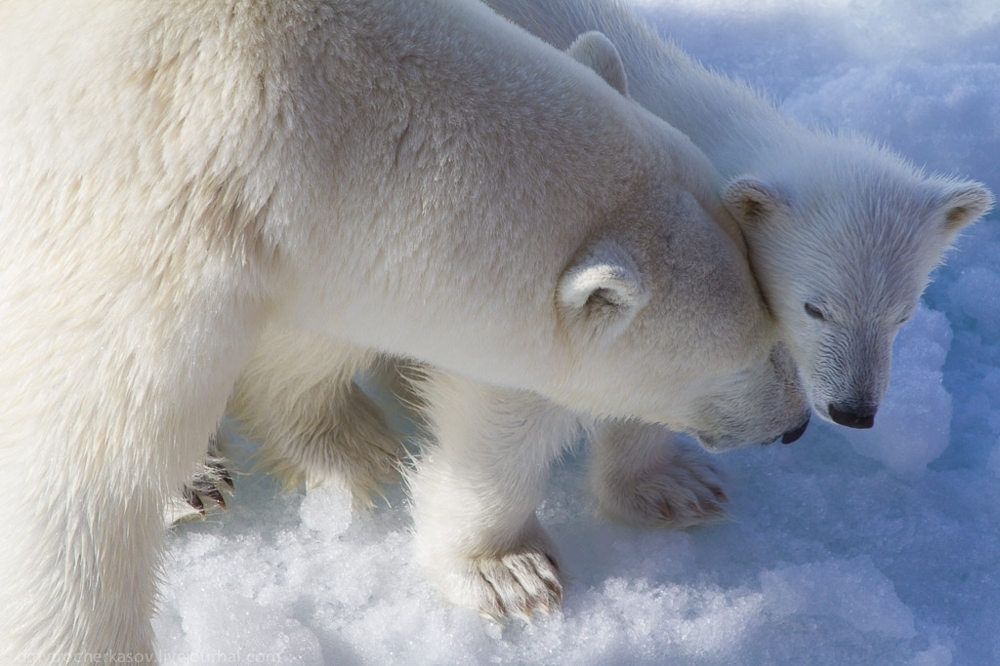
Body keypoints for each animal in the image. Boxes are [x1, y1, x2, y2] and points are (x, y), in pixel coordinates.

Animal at [0, 0, 804, 652]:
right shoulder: (136, 206)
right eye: (750, 356)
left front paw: (352, 450)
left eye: (778, 327)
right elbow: (83, 454)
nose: (795, 425)